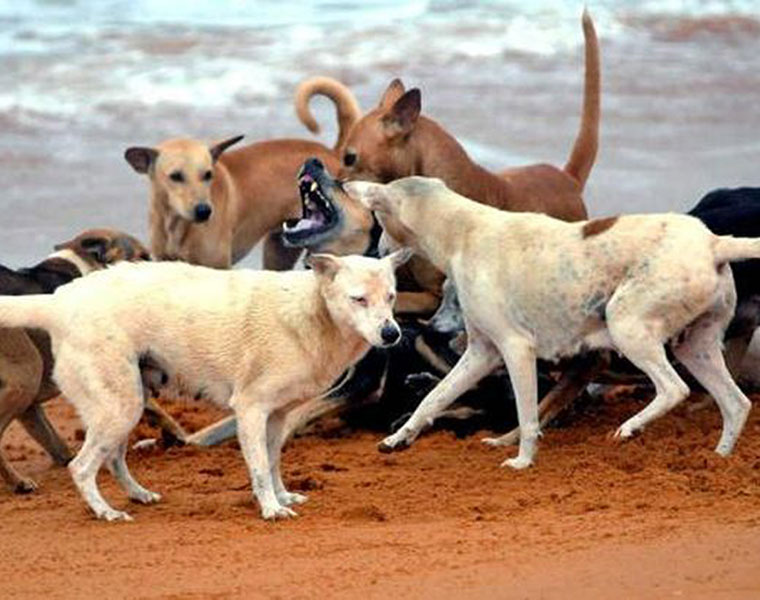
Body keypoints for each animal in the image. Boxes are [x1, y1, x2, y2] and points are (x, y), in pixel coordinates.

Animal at [125, 78, 362, 270]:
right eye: (175, 176)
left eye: (208, 175)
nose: (204, 211)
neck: (176, 224)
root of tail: (333, 152)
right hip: (278, 250)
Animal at [348, 177, 756, 468]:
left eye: (379, 218)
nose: (378, 251)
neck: (463, 230)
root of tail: (715, 244)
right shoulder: (480, 354)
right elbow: (434, 397)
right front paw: (399, 439)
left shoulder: (515, 350)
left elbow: (528, 416)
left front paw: (522, 461)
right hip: (696, 348)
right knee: (736, 404)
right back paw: (716, 462)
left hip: (628, 327)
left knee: (674, 389)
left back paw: (630, 428)